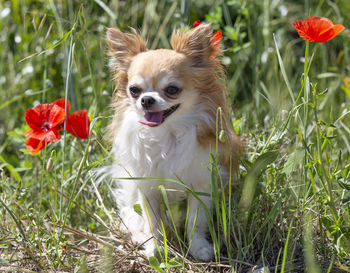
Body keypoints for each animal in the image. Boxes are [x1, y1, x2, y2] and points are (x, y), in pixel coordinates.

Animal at [105, 24, 239, 260]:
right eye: (134, 90)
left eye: (172, 90)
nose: (146, 100)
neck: (166, 133)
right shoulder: (147, 188)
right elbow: (153, 223)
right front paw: (155, 248)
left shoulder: (200, 185)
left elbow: (195, 221)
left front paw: (198, 248)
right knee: (130, 216)